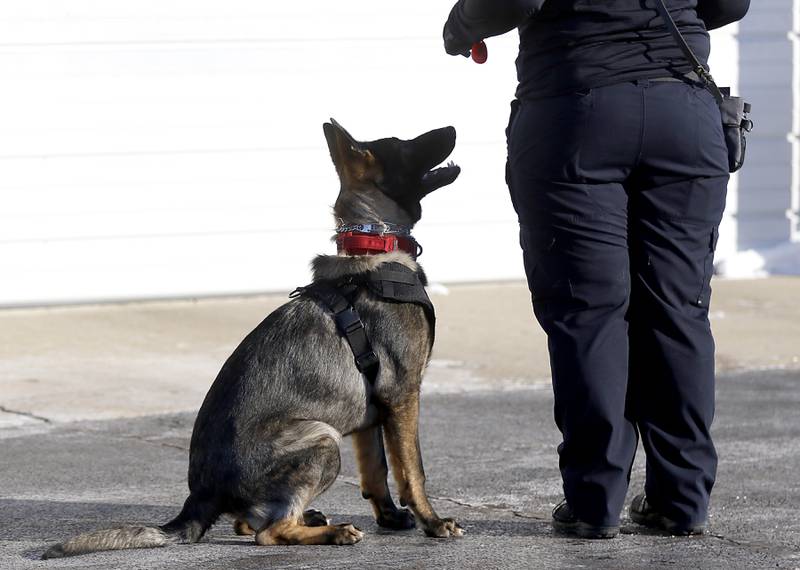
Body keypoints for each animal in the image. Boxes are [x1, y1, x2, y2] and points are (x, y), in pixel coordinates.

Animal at [43, 120, 462, 556]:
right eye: (404, 145)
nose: (452, 127)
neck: (373, 245)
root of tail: (202, 496)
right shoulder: (402, 394)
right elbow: (412, 470)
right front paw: (433, 521)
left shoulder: (372, 411)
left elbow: (376, 470)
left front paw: (391, 517)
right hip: (322, 437)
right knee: (268, 532)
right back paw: (332, 531)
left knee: (250, 521)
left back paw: (312, 517)